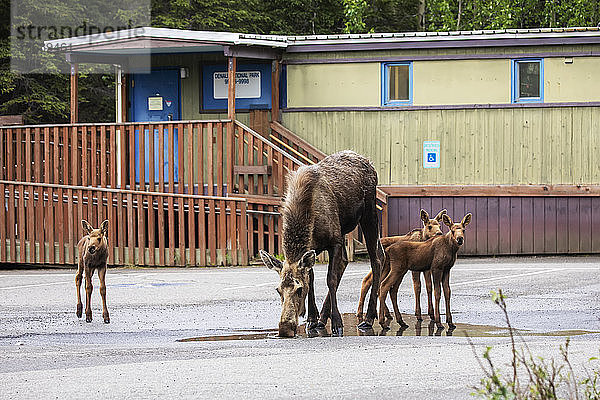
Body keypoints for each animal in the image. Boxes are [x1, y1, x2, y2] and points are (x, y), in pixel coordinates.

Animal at [258, 150, 382, 338]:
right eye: (278, 290)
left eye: (299, 289)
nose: (285, 328)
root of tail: (369, 163)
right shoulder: (313, 248)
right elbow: (312, 279)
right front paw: (312, 319)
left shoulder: (334, 241)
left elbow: (330, 279)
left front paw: (337, 323)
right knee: (346, 261)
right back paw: (322, 318)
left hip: (369, 214)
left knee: (376, 261)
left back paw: (368, 318)